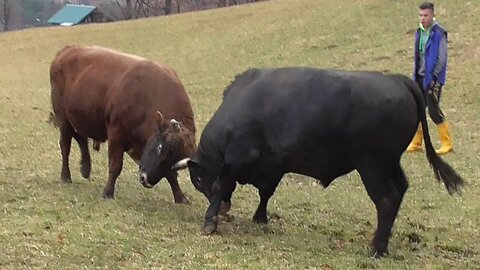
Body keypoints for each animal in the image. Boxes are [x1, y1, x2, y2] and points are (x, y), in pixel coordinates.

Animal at [49, 45, 196, 201]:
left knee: (81, 138)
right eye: (160, 148)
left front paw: (180, 197)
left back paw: (85, 168)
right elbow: (115, 166)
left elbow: (171, 175)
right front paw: (107, 192)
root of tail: (67, 50)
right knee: (66, 145)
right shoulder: (116, 134)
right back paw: (66, 176)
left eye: (176, 162)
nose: (145, 179)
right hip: (63, 118)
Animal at [178, 67, 464, 258]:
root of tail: (396, 79)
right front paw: (259, 218)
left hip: (373, 166)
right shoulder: (274, 168)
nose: (226, 210)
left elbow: (222, 187)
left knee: (387, 199)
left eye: (198, 179)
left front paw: (210, 221)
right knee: (401, 189)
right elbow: (266, 193)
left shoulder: (234, 162)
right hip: (390, 163)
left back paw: (377, 247)